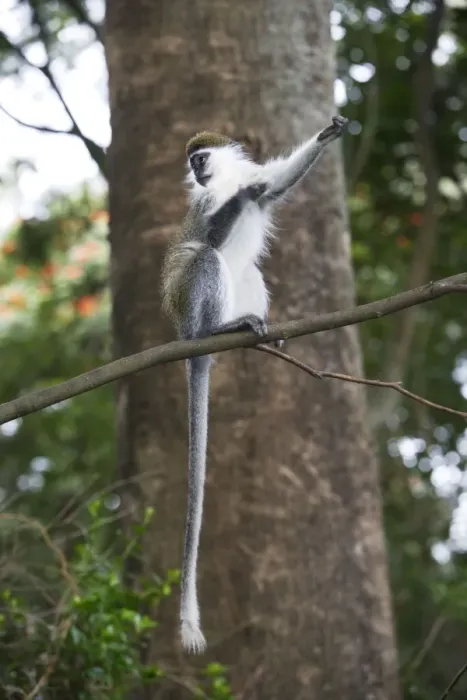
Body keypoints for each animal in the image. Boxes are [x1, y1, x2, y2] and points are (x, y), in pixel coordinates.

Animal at [161, 115, 348, 654]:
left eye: (200, 158)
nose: (197, 173)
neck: (224, 182)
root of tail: (183, 335)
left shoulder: (257, 184)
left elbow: (275, 183)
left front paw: (330, 134)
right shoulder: (207, 205)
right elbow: (209, 229)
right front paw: (236, 198)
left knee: (250, 272)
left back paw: (256, 334)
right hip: (188, 303)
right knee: (203, 257)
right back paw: (216, 331)